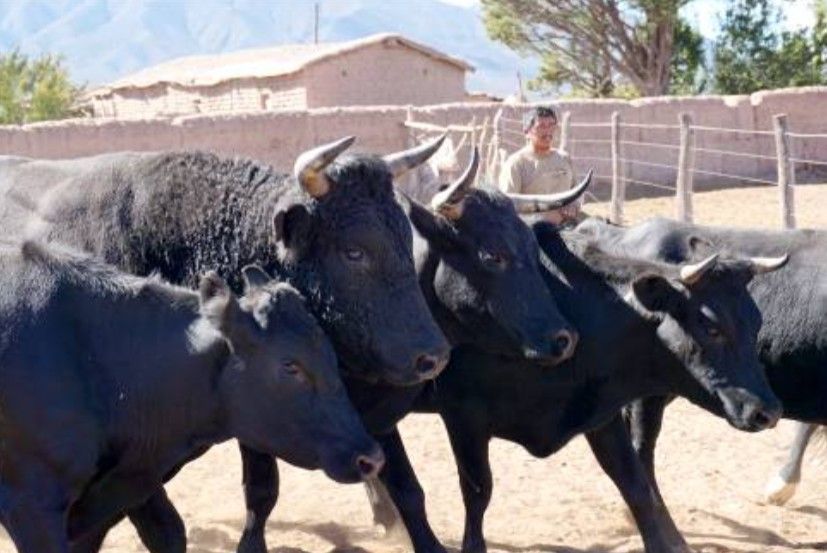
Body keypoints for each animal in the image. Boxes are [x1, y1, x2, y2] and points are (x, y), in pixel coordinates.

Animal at [367, 223, 786, 553]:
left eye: (756, 321)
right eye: (711, 326)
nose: (767, 411)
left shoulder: (601, 414)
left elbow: (635, 487)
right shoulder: (464, 418)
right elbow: (477, 493)